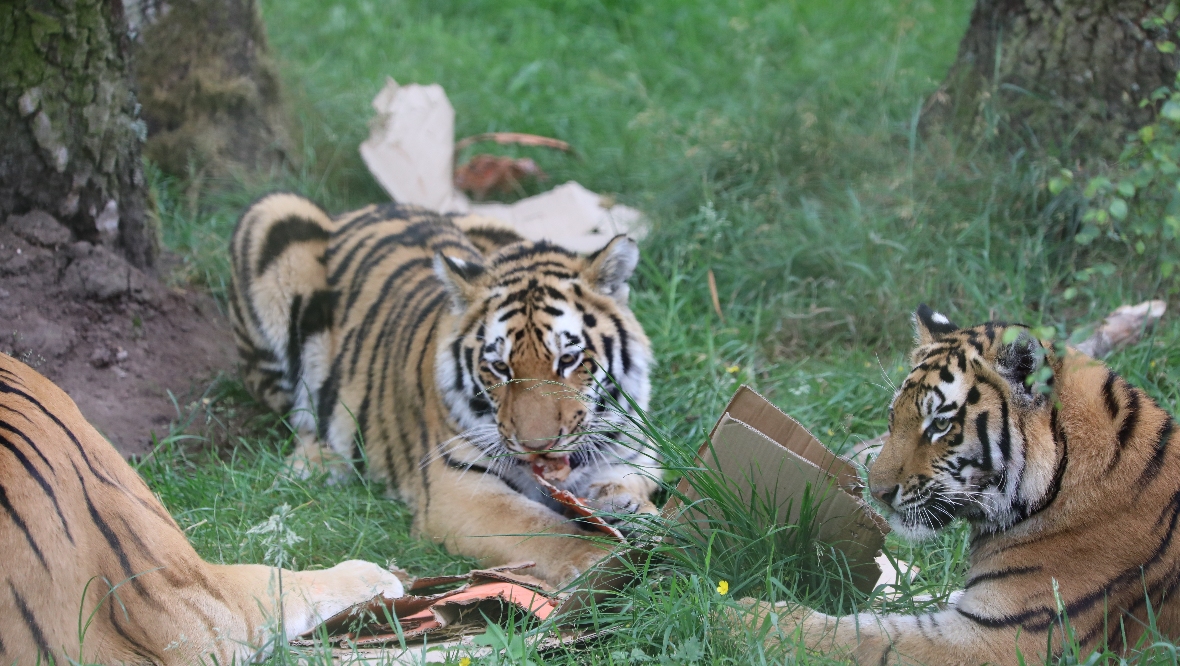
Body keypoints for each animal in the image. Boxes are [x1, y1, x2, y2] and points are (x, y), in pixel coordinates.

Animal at [225, 193, 660, 588]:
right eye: (500, 368)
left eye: (568, 359)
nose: (537, 446)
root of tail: (368, 208)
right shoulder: (458, 489)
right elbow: (541, 528)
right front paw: (599, 559)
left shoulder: (637, 456)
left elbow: (629, 485)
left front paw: (629, 509)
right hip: (274, 217)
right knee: (297, 412)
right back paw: (318, 463)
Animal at [741, 304, 1180, 661]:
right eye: (893, 417)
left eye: (940, 425)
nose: (876, 493)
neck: (1061, 482)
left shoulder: (1002, 637)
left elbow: (859, 637)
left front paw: (742, 613)